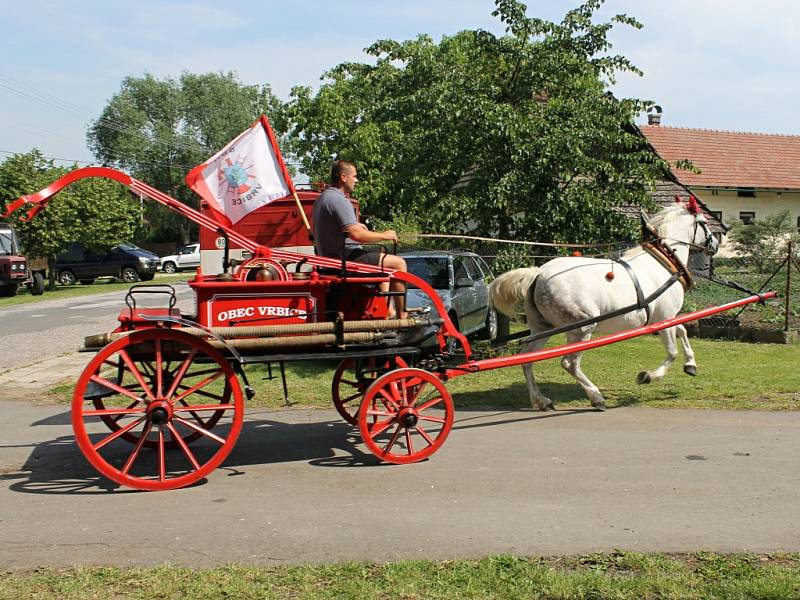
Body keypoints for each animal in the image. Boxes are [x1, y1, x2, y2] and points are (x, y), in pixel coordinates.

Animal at [488, 199, 720, 410]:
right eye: (704, 222)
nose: (716, 244)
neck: (662, 261)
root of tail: (539, 273)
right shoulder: (664, 319)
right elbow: (672, 352)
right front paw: (648, 376)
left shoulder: (667, 317)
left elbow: (682, 331)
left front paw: (690, 364)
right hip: (581, 328)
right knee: (569, 363)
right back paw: (595, 396)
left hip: (543, 327)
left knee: (526, 359)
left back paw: (541, 400)